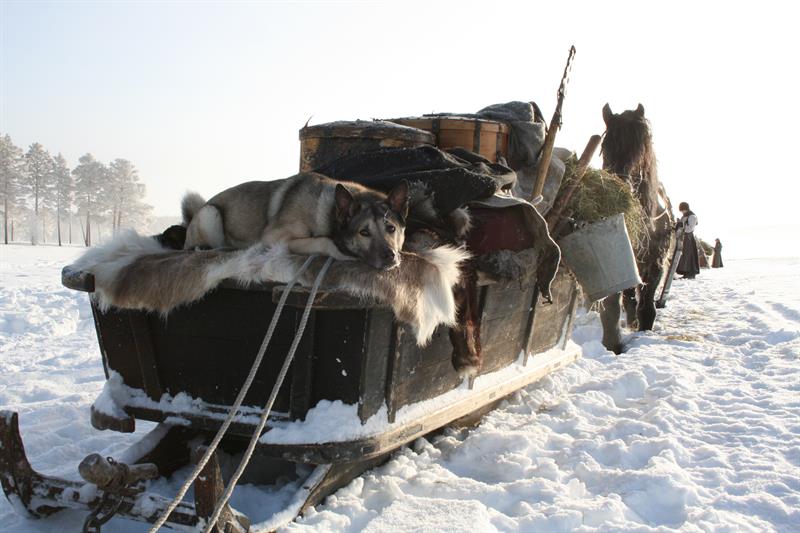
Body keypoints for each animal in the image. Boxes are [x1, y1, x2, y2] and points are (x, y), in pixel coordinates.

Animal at [180, 171, 406, 268]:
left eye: (391, 228)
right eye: (364, 232)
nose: (390, 256)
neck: (331, 211)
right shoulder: (274, 238)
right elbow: (323, 240)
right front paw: (340, 251)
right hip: (211, 214)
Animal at [600, 103, 676, 354]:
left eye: (640, 145)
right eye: (605, 146)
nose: (620, 183)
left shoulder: (656, 261)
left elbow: (647, 299)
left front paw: (645, 326)